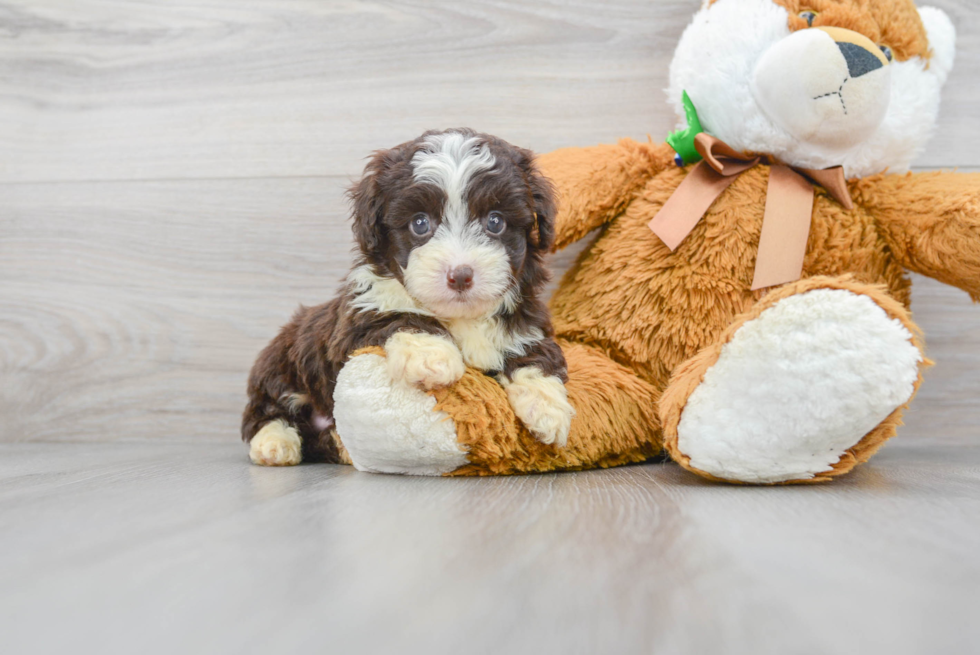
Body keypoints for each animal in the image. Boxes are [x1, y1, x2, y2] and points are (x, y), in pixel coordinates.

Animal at [242, 128, 576, 466]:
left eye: (495, 222)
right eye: (420, 223)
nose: (460, 275)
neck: (460, 316)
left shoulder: (526, 324)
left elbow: (535, 354)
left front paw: (548, 409)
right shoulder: (354, 322)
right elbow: (400, 317)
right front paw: (432, 357)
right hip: (279, 366)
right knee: (266, 411)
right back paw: (274, 444)